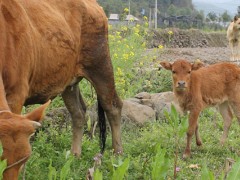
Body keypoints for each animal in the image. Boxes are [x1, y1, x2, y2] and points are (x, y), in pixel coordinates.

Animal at [0, 0, 122, 179]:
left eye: (25, 158)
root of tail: (94, 4)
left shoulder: (16, 94)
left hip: (100, 64)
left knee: (113, 106)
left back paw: (118, 154)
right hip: (69, 82)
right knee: (78, 112)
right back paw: (75, 155)